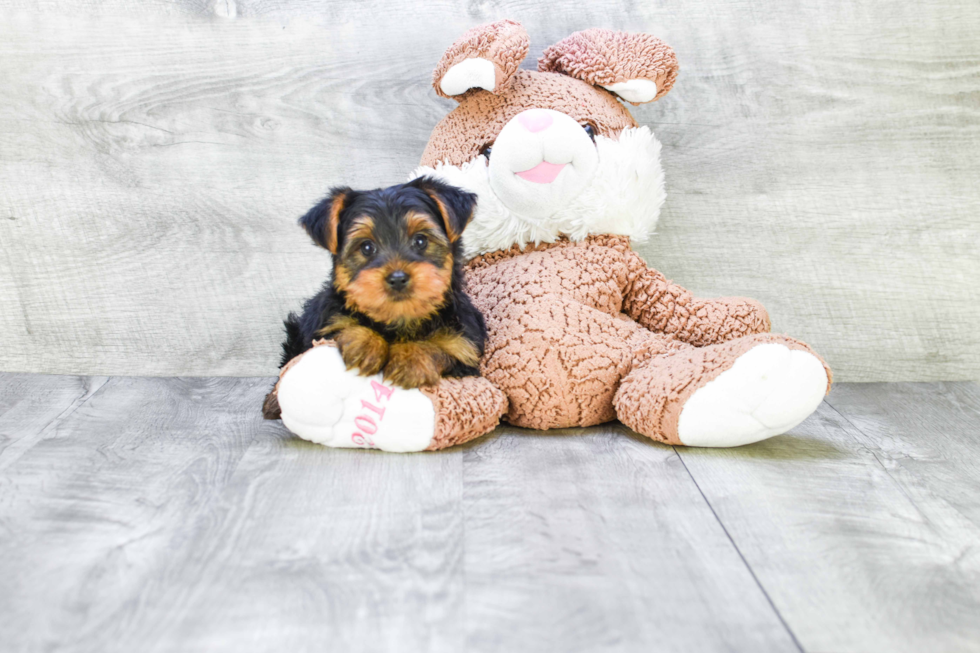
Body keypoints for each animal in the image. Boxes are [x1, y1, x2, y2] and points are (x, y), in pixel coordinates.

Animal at [264, 174, 486, 418]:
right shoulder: (324, 324)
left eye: (420, 240)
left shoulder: (463, 348)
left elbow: (441, 349)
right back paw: (273, 400)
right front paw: (365, 343)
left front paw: (411, 358)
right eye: (367, 247)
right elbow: (343, 325)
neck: (399, 321)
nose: (397, 278)